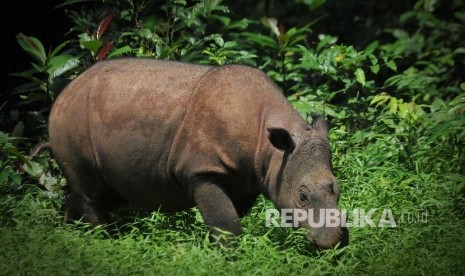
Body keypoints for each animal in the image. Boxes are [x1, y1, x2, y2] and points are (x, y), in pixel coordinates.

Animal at [49, 59, 350, 249]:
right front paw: (231, 258)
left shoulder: (249, 177)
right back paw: (103, 241)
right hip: (71, 118)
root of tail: (62, 93)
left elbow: (230, 218)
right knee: (92, 193)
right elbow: (227, 224)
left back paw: (66, 236)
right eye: (302, 197)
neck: (271, 151)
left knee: (101, 192)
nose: (336, 241)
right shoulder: (201, 171)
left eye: (337, 189)